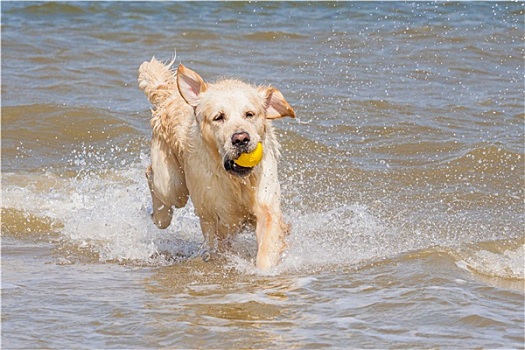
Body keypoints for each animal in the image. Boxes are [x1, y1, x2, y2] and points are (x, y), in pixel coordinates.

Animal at [137, 58, 294, 270]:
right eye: (219, 117)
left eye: (250, 114)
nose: (241, 139)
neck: (236, 181)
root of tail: (170, 93)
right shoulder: (215, 216)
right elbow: (216, 241)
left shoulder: (266, 202)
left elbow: (268, 242)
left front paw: (264, 270)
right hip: (172, 185)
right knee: (155, 181)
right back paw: (158, 216)